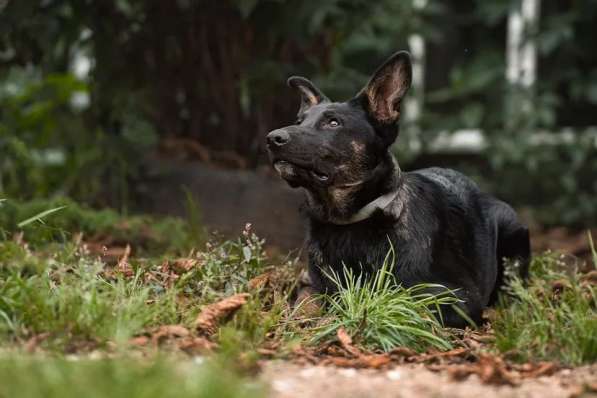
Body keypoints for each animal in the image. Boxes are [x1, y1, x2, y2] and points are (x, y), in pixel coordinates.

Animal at [268, 51, 528, 328]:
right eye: (299, 121)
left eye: (333, 123)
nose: (272, 139)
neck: (351, 222)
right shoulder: (311, 283)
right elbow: (306, 300)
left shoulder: (458, 297)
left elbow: (410, 304)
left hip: (512, 233)